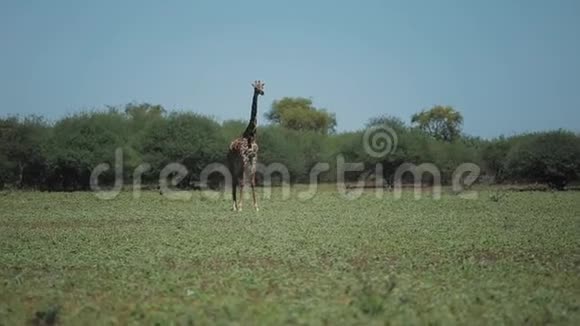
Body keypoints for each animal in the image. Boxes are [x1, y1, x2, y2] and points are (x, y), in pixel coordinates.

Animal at [227, 80, 266, 210]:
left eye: (262, 86)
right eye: (256, 88)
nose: (262, 92)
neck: (251, 136)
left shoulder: (253, 158)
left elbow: (252, 182)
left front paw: (256, 207)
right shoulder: (244, 158)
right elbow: (243, 182)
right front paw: (240, 206)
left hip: (239, 164)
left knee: (236, 180)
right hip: (232, 163)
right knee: (234, 180)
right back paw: (234, 206)